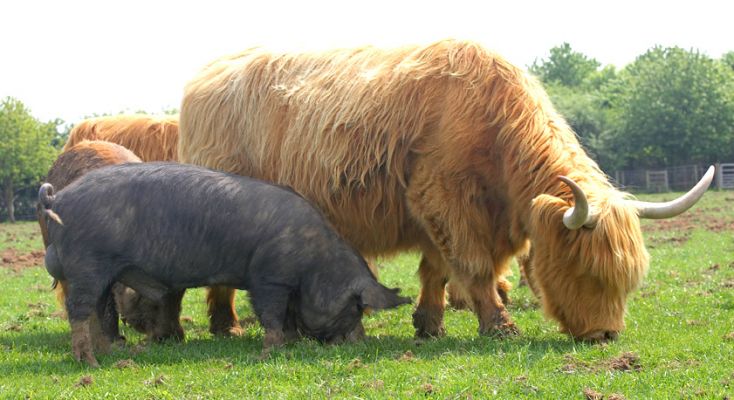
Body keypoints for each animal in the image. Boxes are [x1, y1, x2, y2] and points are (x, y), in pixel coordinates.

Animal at [39, 162, 410, 367]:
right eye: (357, 306)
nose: (359, 343)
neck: (315, 263)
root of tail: (59, 198)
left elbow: (288, 315)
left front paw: (290, 343)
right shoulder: (268, 277)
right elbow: (271, 314)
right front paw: (269, 352)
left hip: (100, 272)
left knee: (99, 311)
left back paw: (110, 354)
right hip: (88, 264)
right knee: (79, 312)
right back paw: (90, 363)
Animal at [177, 39, 713, 341]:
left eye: (627, 277)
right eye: (586, 269)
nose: (605, 334)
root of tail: (206, 76)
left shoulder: (435, 212)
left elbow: (436, 270)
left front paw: (429, 325)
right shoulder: (445, 200)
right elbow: (473, 267)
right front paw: (500, 326)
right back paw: (226, 325)